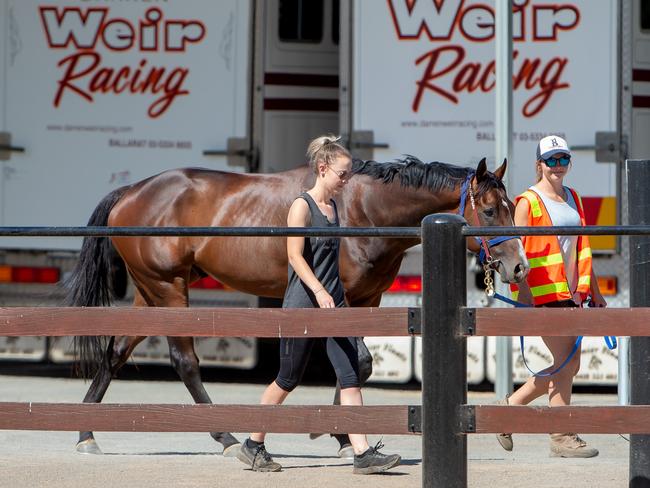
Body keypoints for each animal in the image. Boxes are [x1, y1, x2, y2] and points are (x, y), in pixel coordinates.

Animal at [67, 155, 528, 454]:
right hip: (169, 289)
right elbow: (356, 363)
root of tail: (131, 192)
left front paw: (341, 435)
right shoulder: (343, 298)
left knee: (115, 352)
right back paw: (225, 437)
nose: (518, 266)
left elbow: (356, 365)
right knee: (184, 361)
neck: (366, 206)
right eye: (490, 211)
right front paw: (340, 435)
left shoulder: (369, 297)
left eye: (512, 207)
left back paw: (86, 434)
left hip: (151, 291)